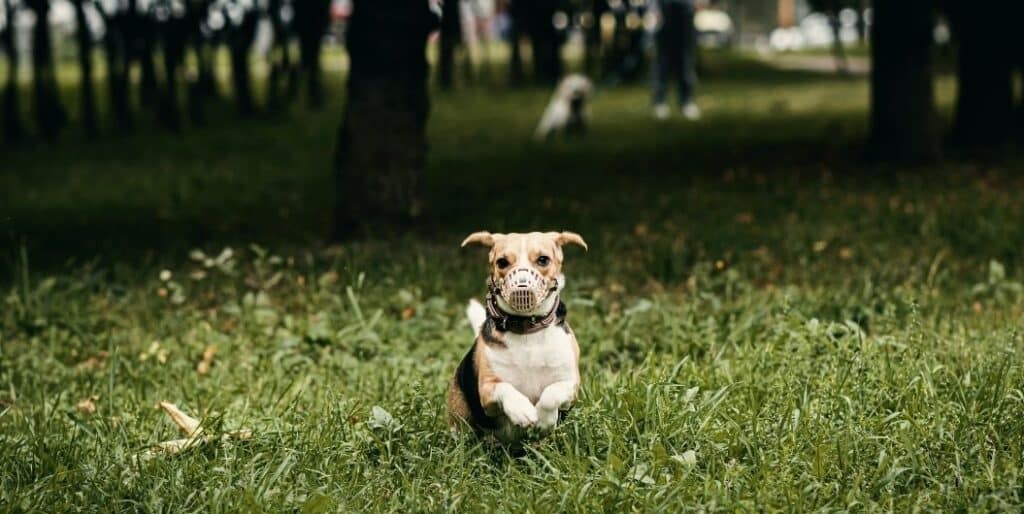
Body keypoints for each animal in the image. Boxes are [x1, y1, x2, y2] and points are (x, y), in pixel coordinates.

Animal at [446, 230, 585, 442]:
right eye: (502, 262)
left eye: (543, 260)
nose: (522, 286)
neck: (526, 329)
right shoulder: (486, 392)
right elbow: (505, 388)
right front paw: (522, 411)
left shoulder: (571, 385)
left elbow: (550, 394)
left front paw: (544, 420)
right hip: (460, 418)